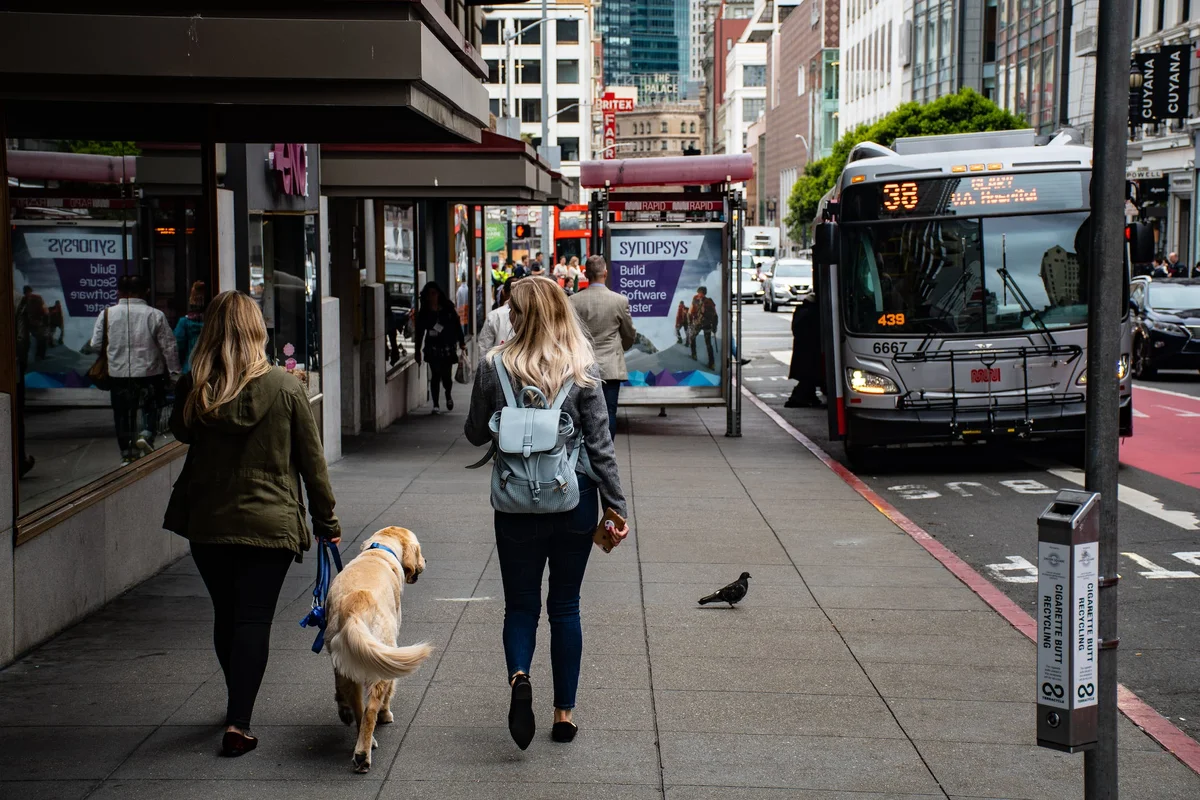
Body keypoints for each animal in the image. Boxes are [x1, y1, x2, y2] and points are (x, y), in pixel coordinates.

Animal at [324, 525, 432, 767]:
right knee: (370, 710)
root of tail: (355, 608)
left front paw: (342, 708)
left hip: (348, 661)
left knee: (358, 708)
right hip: (381, 656)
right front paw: (386, 714)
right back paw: (363, 754)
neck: (379, 550)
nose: (426, 560)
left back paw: (359, 734)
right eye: (420, 550)